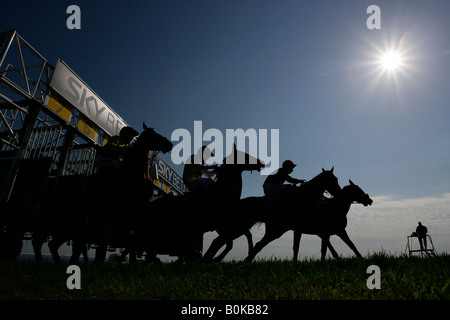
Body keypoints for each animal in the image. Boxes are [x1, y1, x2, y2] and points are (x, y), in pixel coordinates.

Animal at [31, 122, 172, 262]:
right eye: (153, 134)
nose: (169, 144)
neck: (134, 172)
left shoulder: (135, 210)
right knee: (40, 241)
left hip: (70, 225)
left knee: (52, 244)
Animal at [130, 146, 264, 262]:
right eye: (245, 155)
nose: (261, 162)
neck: (222, 193)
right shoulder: (222, 225)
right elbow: (222, 242)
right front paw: (208, 259)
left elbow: (228, 242)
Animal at [202, 168, 340, 262]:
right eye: (333, 179)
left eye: (336, 179)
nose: (338, 192)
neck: (303, 197)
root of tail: (236, 204)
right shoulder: (296, 228)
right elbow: (296, 246)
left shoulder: (294, 228)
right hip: (240, 226)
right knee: (220, 241)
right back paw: (209, 259)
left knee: (222, 241)